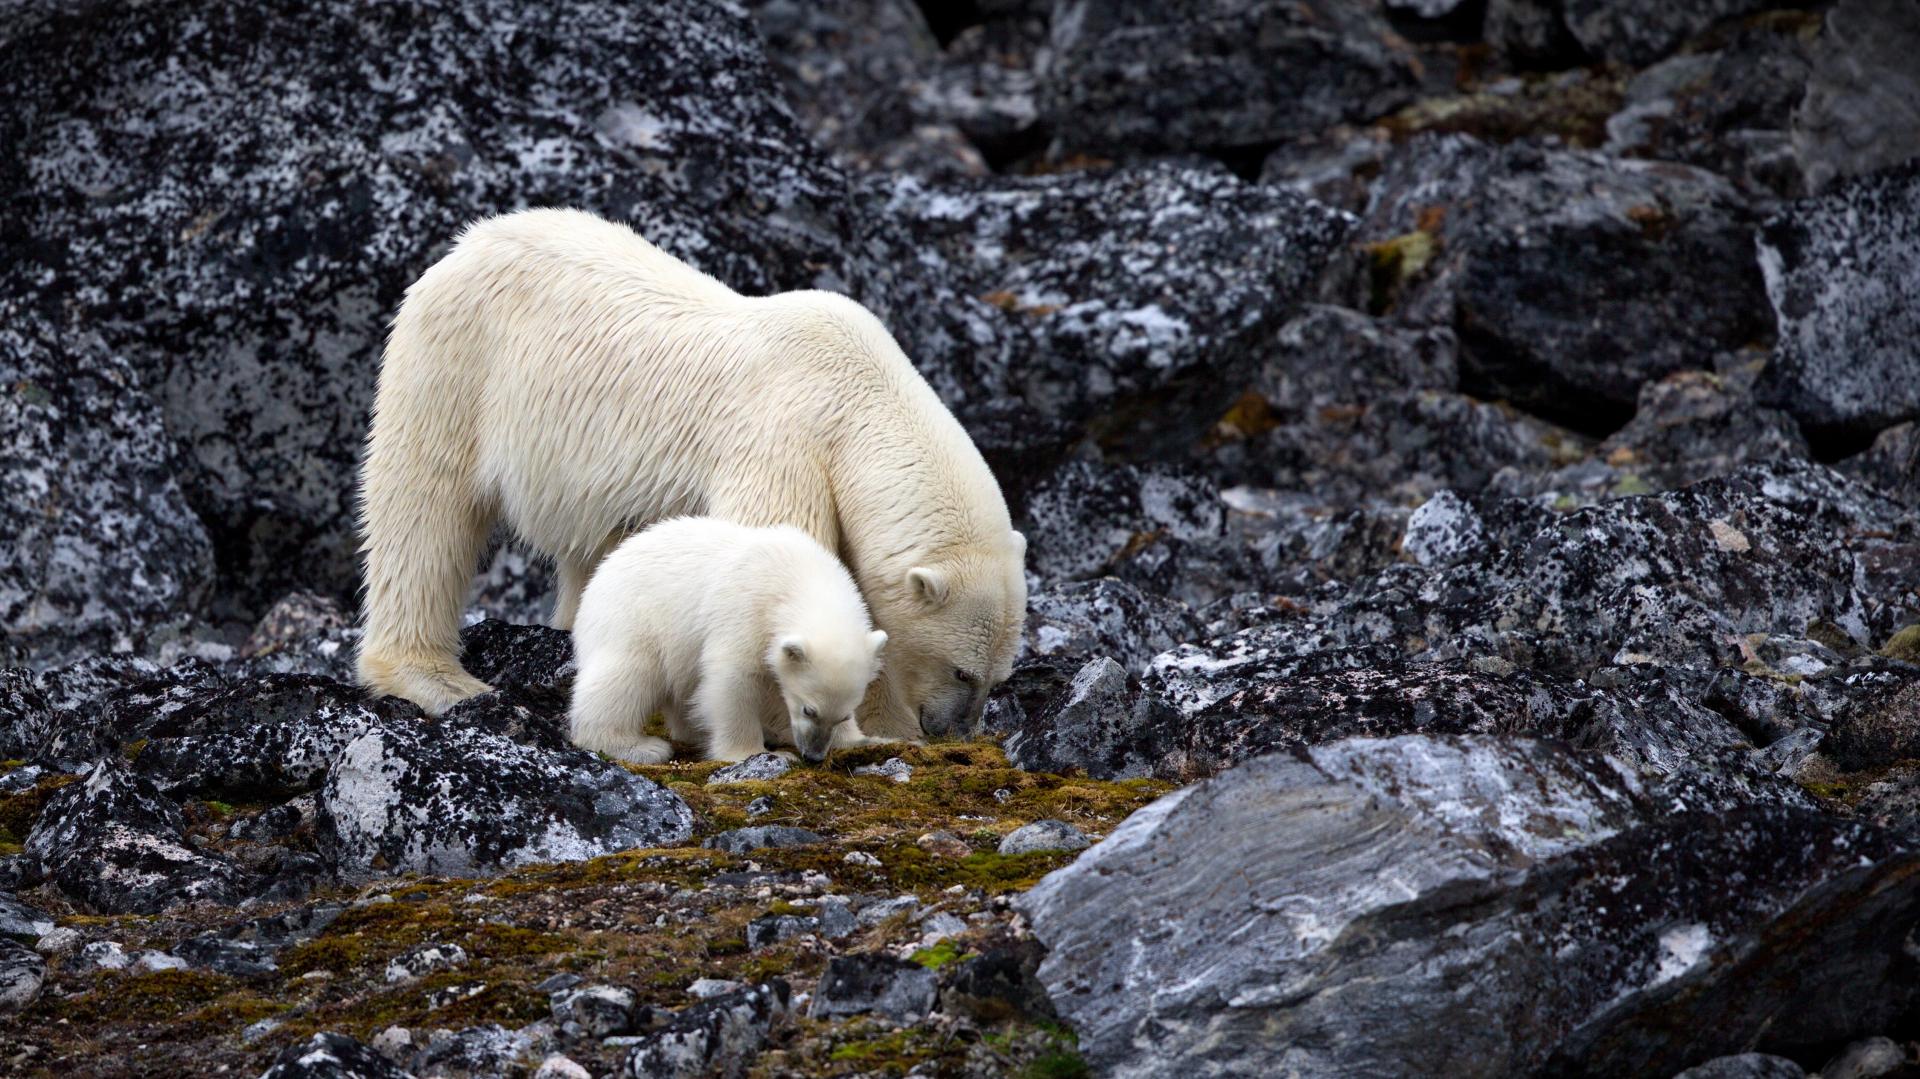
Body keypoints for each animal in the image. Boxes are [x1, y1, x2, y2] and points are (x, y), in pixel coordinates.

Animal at [353, 205, 1029, 733]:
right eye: (962, 669)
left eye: (999, 676)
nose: (954, 731)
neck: (860, 395)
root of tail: (470, 240)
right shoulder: (782, 439)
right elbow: (779, 561)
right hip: (458, 365)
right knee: (424, 508)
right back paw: (436, 679)